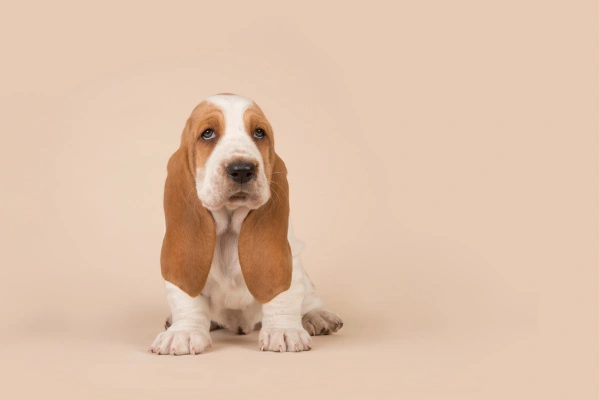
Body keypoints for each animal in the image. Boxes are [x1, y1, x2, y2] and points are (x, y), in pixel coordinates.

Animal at [149, 94, 343, 354]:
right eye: (208, 133)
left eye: (259, 133)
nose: (242, 169)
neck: (230, 224)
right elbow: (187, 299)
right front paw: (183, 333)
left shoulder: (290, 259)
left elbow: (284, 296)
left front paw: (284, 331)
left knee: (310, 300)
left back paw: (318, 316)